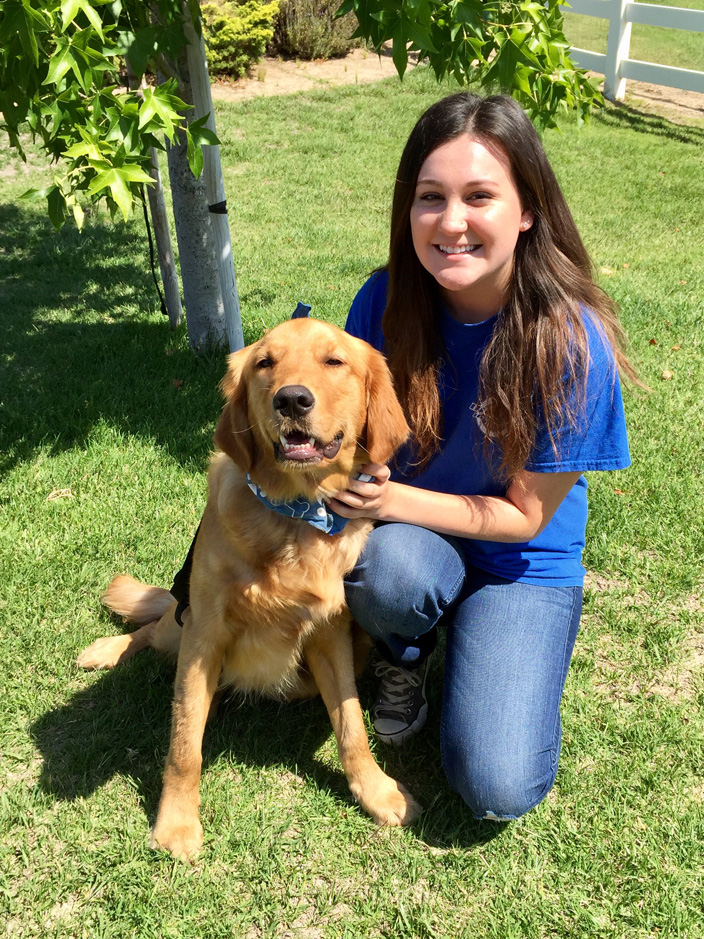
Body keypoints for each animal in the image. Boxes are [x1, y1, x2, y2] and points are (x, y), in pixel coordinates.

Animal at [78, 320, 418, 864]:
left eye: (334, 361)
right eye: (265, 363)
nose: (292, 399)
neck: (294, 516)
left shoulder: (331, 635)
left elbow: (351, 725)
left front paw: (377, 791)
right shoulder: (203, 634)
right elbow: (184, 747)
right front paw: (176, 823)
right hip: (181, 624)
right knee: (151, 629)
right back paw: (106, 649)